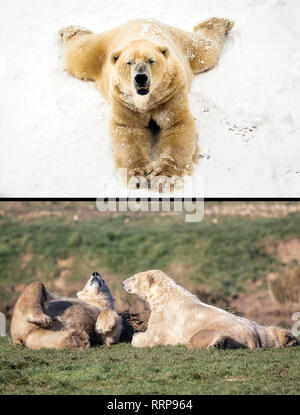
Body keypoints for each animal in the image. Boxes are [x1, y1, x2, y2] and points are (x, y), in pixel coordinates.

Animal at [58, 18, 232, 188]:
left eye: (151, 60)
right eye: (129, 62)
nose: (141, 77)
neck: (147, 100)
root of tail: (143, 19)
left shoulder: (170, 92)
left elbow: (177, 124)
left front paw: (162, 178)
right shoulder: (124, 99)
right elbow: (129, 130)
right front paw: (138, 177)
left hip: (182, 44)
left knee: (205, 49)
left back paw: (221, 22)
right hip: (101, 49)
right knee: (79, 55)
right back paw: (70, 29)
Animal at [122, 270, 300, 352]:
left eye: (134, 277)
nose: (123, 283)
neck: (164, 295)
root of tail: (252, 336)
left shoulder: (165, 318)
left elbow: (152, 336)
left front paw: (137, 335)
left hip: (223, 329)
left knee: (197, 339)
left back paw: (219, 343)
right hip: (258, 328)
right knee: (270, 330)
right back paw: (288, 339)